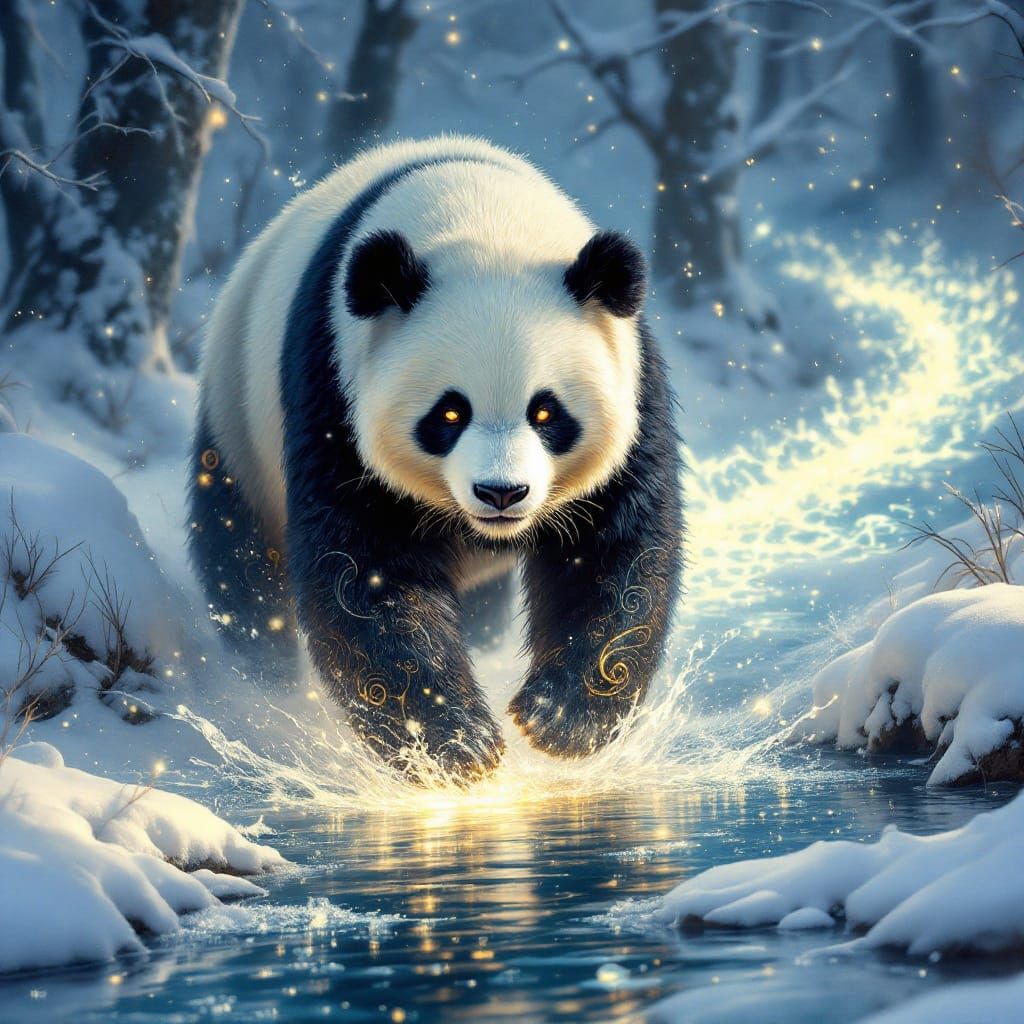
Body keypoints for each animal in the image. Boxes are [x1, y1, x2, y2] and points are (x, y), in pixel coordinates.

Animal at [190, 136, 683, 782]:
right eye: (449, 414)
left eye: (546, 412)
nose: (502, 493)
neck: (486, 221)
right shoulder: (333, 385)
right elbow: (365, 568)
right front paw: (457, 742)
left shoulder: (632, 379)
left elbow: (614, 549)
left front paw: (558, 719)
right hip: (239, 417)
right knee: (240, 559)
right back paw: (264, 680)